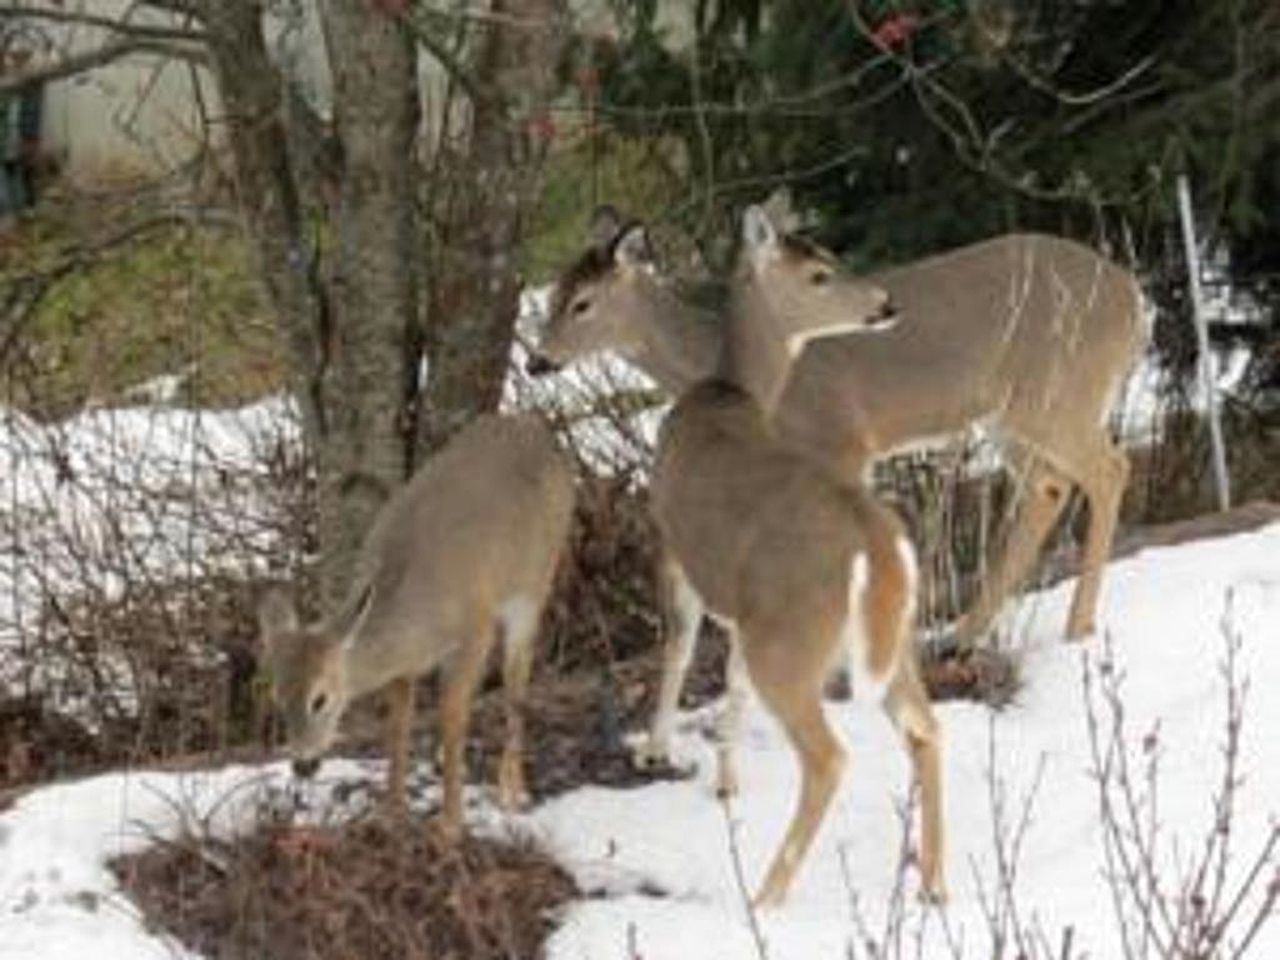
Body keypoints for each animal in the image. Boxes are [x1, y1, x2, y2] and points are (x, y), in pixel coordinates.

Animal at [256, 417, 576, 839]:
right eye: (277, 697)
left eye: (320, 698)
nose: (303, 764)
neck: (415, 621)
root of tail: (544, 435)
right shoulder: (403, 668)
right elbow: (397, 726)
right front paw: (390, 812)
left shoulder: (475, 630)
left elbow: (452, 718)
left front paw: (450, 824)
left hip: (535, 582)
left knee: (517, 680)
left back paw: (513, 789)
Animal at [529, 204, 1152, 773]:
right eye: (552, 293)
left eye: (583, 303)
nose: (537, 361)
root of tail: (1134, 299)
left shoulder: (845, 442)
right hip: (1010, 414)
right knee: (1048, 485)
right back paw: (961, 634)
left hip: (1057, 391)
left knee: (1109, 467)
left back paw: (1077, 626)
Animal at [637, 208, 942, 911]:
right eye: (819, 271)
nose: (886, 302)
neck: (727, 392)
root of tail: (876, 544)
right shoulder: (741, 603)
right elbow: (731, 679)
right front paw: (724, 779)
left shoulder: (672, 540)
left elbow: (679, 645)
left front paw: (656, 751)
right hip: (890, 637)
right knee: (926, 728)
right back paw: (936, 886)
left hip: (792, 637)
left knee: (828, 758)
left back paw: (765, 898)